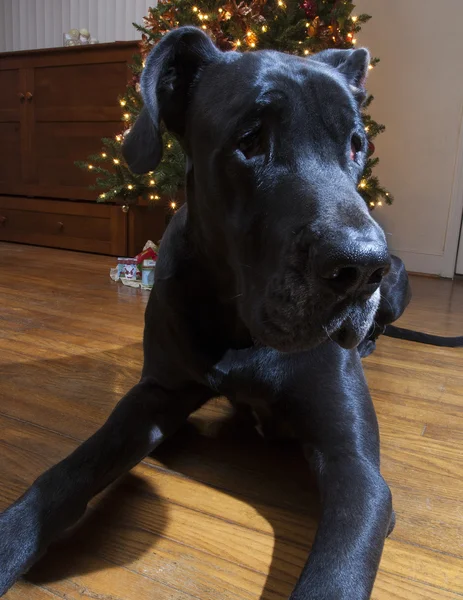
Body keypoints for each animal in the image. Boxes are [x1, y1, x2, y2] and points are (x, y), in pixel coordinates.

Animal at [0, 29, 414, 600]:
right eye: (250, 140)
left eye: (357, 145)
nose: (361, 268)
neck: (240, 328)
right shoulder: (157, 393)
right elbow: (70, 469)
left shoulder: (358, 471)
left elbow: (335, 573)